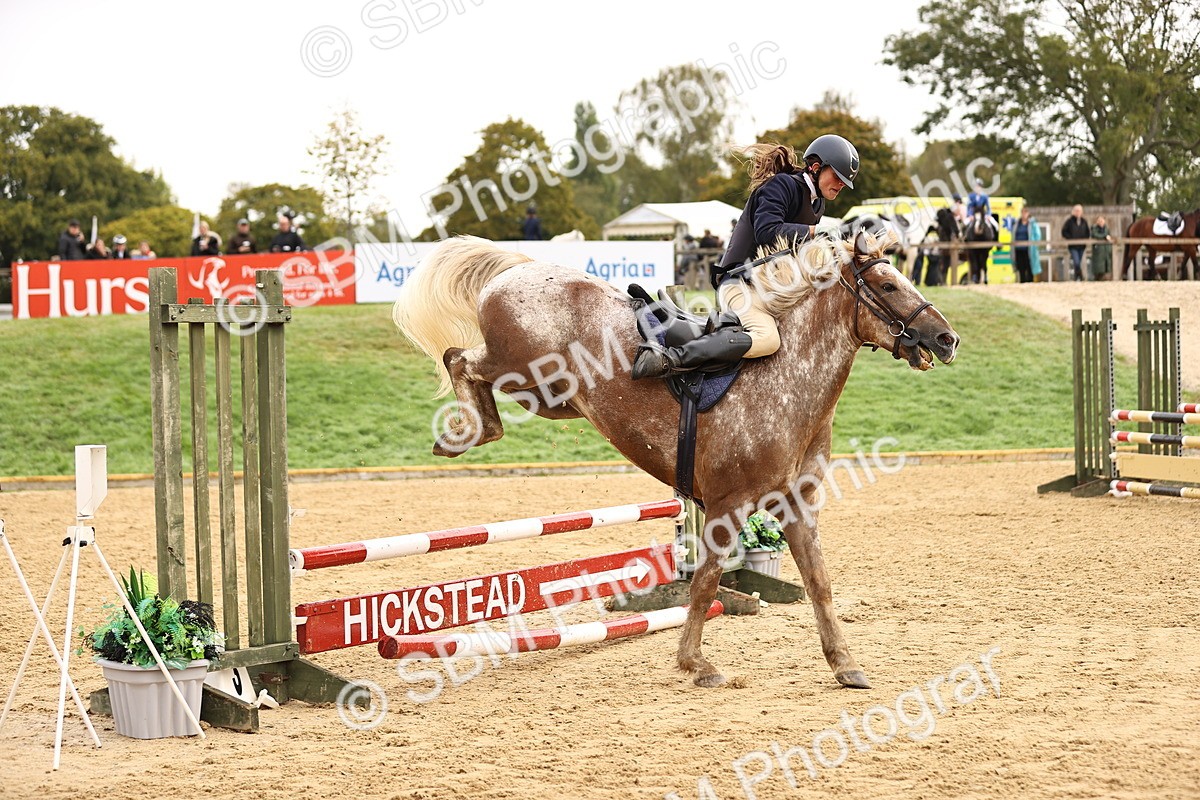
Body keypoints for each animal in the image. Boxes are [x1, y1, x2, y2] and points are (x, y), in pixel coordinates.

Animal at [392, 230, 960, 689]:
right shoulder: (729, 506)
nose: (946, 338)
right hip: (527, 371)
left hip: (550, 397)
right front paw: (696, 664)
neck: (788, 384)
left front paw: (845, 665)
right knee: (460, 360)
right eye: (887, 286)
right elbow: (705, 582)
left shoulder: (797, 508)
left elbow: (818, 583)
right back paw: (463, 433)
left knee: (470, 372)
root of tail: (522, 267)